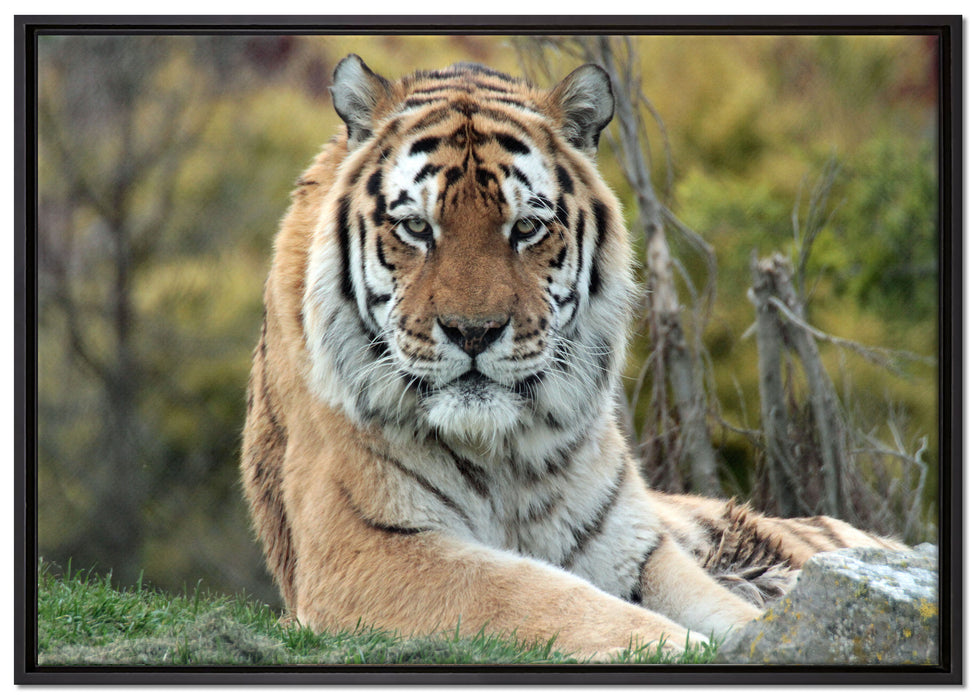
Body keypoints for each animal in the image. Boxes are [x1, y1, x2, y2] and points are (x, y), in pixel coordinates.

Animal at [240, 54, 902, 661]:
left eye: (526, 228)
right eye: (417, 228)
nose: (474, 333)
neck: (502, 455)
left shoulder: (632, 545)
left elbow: (723, 607)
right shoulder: (370, 549)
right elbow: (535, 595)